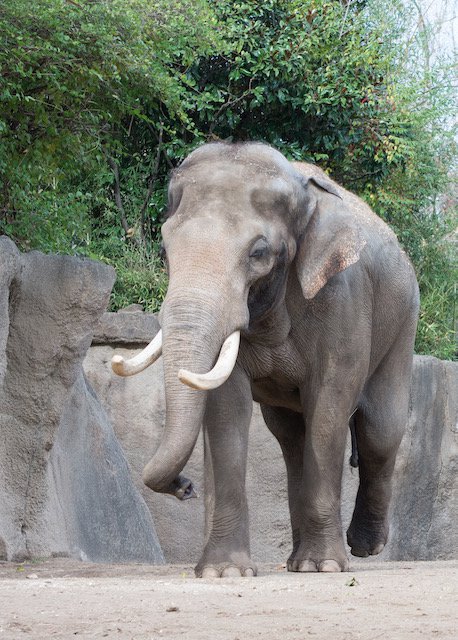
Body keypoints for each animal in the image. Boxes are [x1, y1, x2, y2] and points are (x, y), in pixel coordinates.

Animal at [112, 142, 419, 577]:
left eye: (258, 253)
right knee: (291, 437)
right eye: (164, 251)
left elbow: (330, 405)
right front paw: (223, 572)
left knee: (380, 430)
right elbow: (227, 407)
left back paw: (362, 547)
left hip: (403, 320)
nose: (186, 487)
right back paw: (296, 561)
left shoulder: (343, 297)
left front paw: (325, 567)